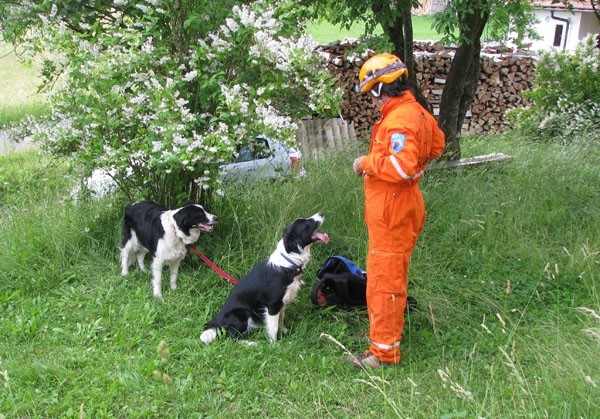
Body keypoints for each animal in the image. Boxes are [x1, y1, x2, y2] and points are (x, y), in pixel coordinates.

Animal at [200, 212, 328, 346]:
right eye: (307, 223)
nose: (321, 213)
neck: (290, 261)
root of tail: (217, 322)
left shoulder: (281, 303)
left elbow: (281, 320)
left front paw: (284, 332)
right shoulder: (272, 305)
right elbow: (273, 328)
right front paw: (275, 345)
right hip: (242, 314)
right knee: (231, 338)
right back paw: (252, 343)